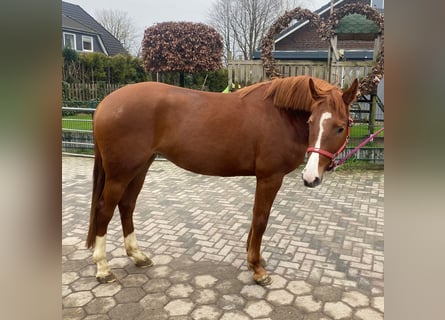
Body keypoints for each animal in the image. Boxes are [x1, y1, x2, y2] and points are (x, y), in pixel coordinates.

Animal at [86, 75, 358, 284]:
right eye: (311, 122)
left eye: (340, 126)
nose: (311, 178)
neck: (280, 115)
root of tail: (105, 104)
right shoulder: (269, 178)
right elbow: (261, 219)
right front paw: (257, 269)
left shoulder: (263, 178)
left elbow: (254, 218)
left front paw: (254, 259)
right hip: (120, 173)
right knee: (104, 210)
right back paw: (103, 268)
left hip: (141, 167)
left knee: (126, 205)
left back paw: (138, 255)